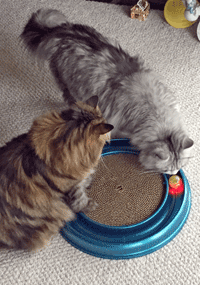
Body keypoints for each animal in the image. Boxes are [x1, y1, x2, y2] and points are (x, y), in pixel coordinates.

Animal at [20, 8, 194, 173]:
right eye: (166, 169)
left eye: (181, 166)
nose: (174, 173)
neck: (153, 109)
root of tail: (63, 31)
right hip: (69, 84)